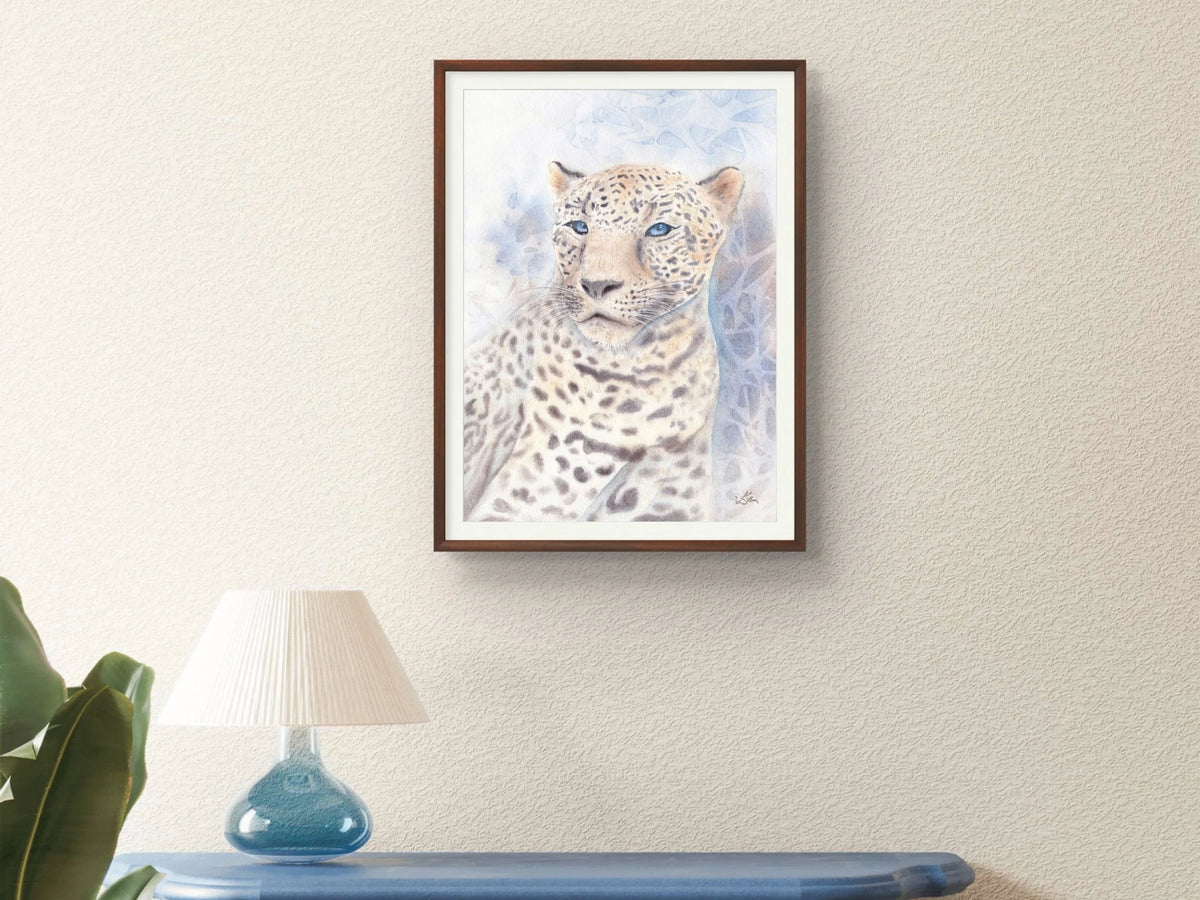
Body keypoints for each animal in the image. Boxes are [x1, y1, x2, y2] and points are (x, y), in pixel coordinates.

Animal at [462, 160, 744, 523]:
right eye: (579, 227)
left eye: (659, 229)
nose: (597, 285)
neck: (655, 367)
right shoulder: (539, 478)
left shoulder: (671, 498)